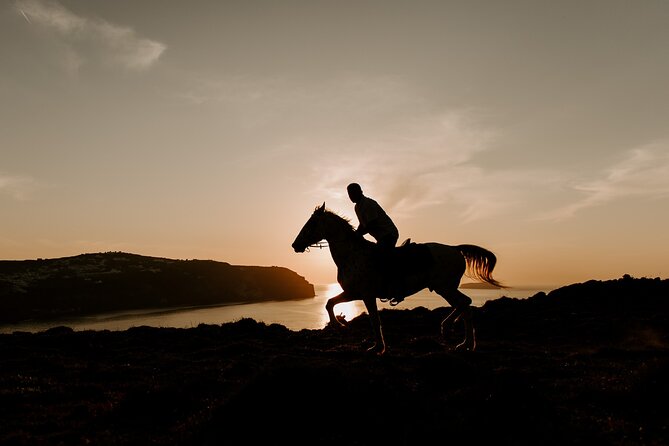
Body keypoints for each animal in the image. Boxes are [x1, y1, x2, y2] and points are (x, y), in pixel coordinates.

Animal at [290, 204, 504, 354]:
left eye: (310, 224)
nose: (295, 245)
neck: (352, 254)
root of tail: (455, 249)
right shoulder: (353, 293)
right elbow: (329, 303)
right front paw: (341, 326)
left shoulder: (366, 294)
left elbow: (374, 320)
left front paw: (377, 347)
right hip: (444, 287)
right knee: (465, 304)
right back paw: (462, 340)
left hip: (445, 287)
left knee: (464, 303)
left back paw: (456, 335)